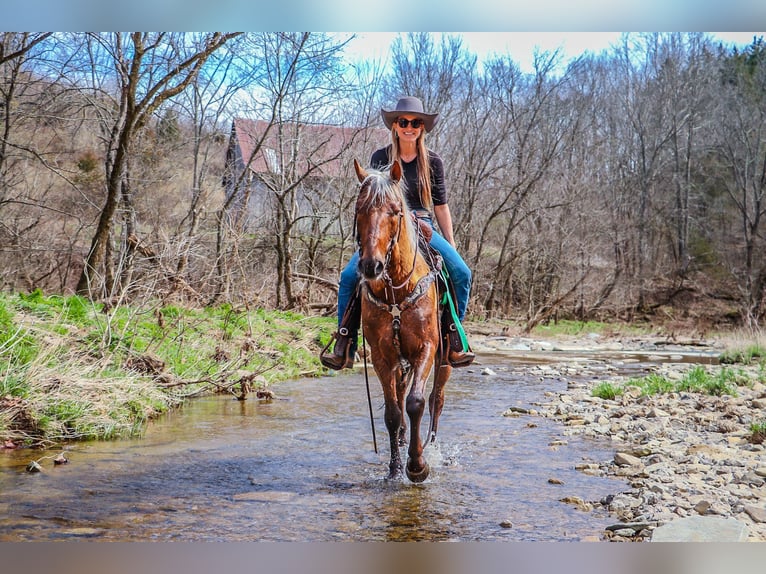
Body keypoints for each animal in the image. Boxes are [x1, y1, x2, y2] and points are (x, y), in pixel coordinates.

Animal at [356, 155, 456, 484]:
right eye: (359, 210)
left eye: (395, 211)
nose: (371, 266)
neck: (397, 289)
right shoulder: (381, 356)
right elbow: (392, 412)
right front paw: (395, 468)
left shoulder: (427, 347)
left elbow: (416, 403)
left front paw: (418, 465)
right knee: (400, 397)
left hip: (445, 358)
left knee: (437, 399)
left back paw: (432, 447)